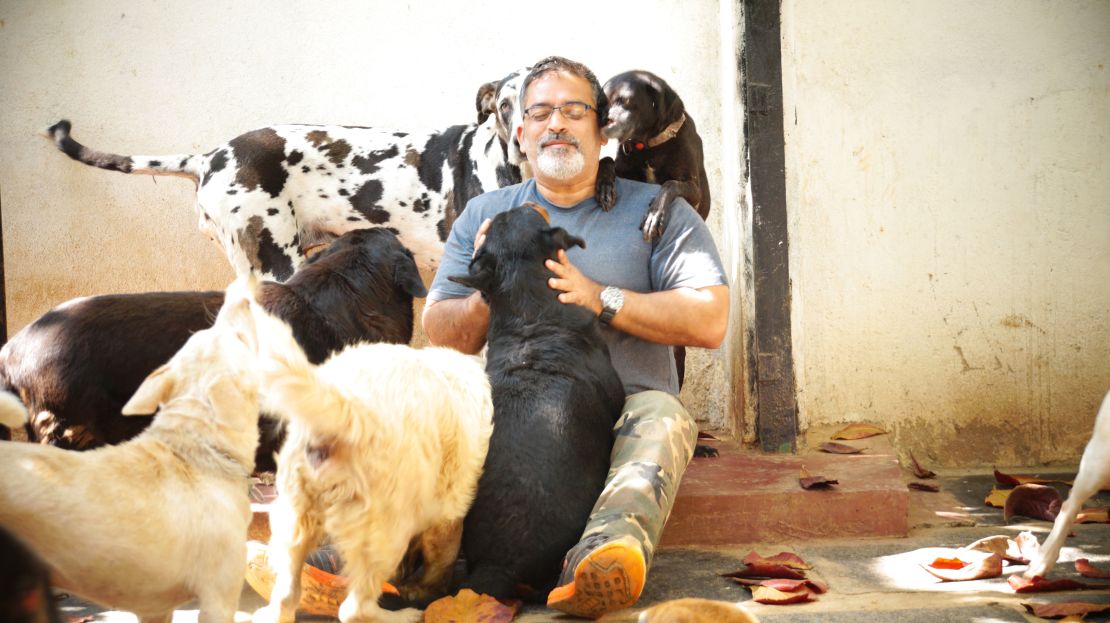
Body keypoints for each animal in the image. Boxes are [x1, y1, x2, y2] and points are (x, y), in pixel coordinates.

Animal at [251, 302, 495, 621]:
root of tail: (345, 410)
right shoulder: (449, 507)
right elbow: (442, 554)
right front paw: (425, 589)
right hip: (387, 526)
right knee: (354, 609)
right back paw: (405, 615)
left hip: (295, 512)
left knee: (287, 592)